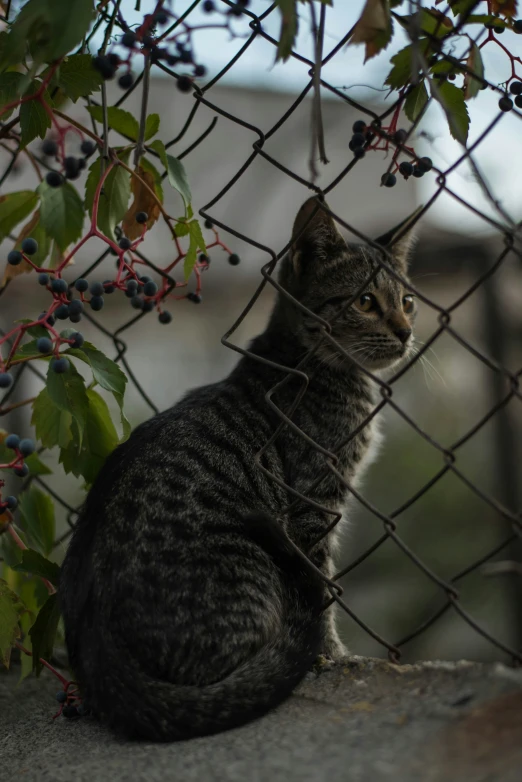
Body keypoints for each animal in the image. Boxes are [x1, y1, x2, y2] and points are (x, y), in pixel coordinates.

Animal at [60, 196, 414, 740]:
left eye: (408, 302)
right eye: (365, 302)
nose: (406, 332)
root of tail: (102, 659)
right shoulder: (315, 502)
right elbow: (324, 587)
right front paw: (333, 654)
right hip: (251, 563)